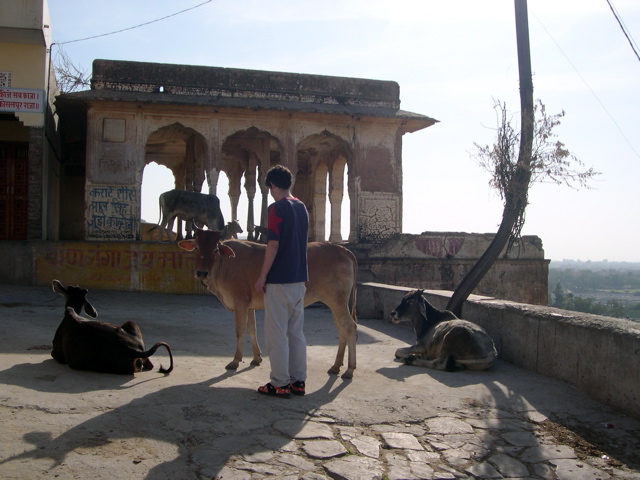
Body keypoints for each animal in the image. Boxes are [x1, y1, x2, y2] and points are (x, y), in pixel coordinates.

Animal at [180, 229, 358, 378]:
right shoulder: (248, 305)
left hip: (338, 301)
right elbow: (252, 329)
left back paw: (349, 369)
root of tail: (343, 250)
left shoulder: (239, 302)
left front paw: (236, 361)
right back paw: (336, 366)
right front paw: (256, 358)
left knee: (350, 327)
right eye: (196, 248)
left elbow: (240, 331)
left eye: (216, 250)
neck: (225, 264)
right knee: (342, 329)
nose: (202, 272)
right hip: (335, 303)